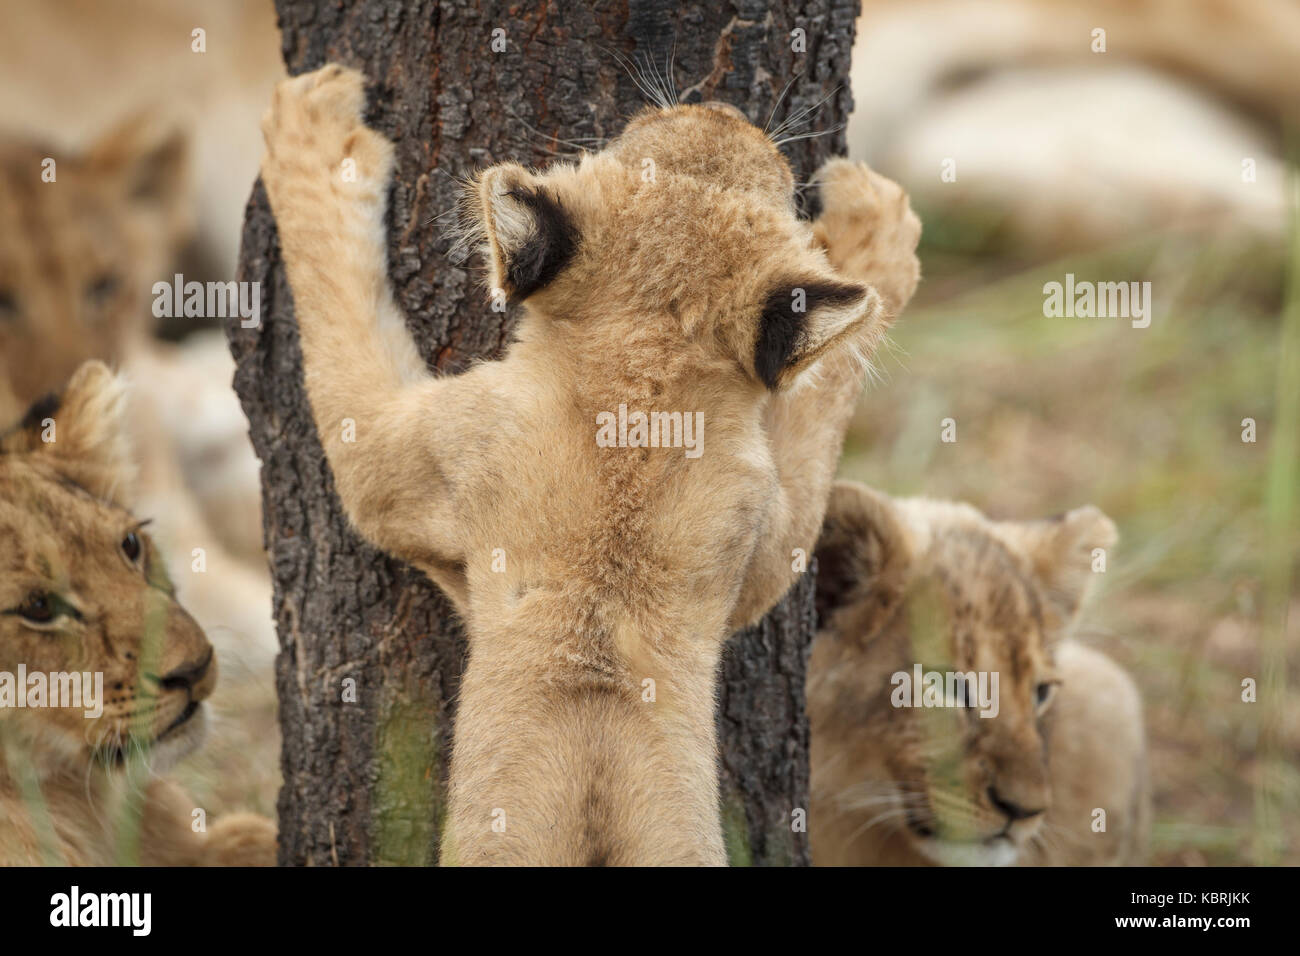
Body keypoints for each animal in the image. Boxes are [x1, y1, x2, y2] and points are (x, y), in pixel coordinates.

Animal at [258, 65, 920, 865]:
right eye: (654, 145)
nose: (720, 110)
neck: (637, 383)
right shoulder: (758, 525)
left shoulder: (396, 461)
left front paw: (310, 129)